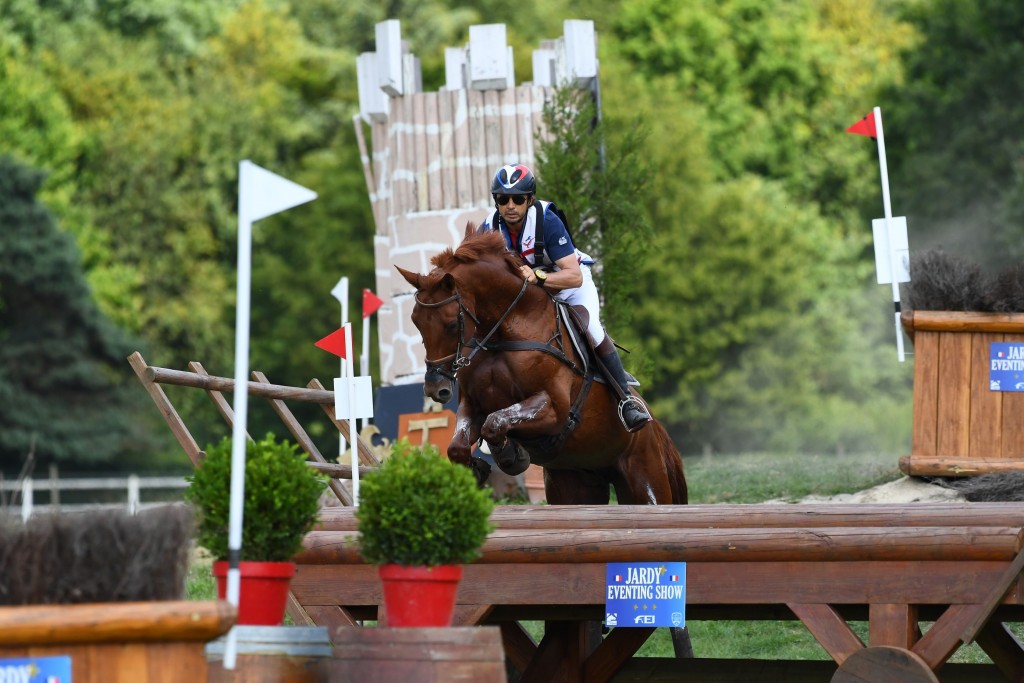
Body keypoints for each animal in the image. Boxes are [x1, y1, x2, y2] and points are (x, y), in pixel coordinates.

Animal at [397, 224, 688, 507]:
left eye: (450, 324)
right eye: (416, 323)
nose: (435, 388)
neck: (507, 328)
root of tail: (656, 428)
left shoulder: (554, 409)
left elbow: (496, 422)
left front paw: (511, 456)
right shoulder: (473, 405)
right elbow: (458, 444)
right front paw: (482, 466)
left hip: (646, 482)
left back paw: (632, 411)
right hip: (573, 485)